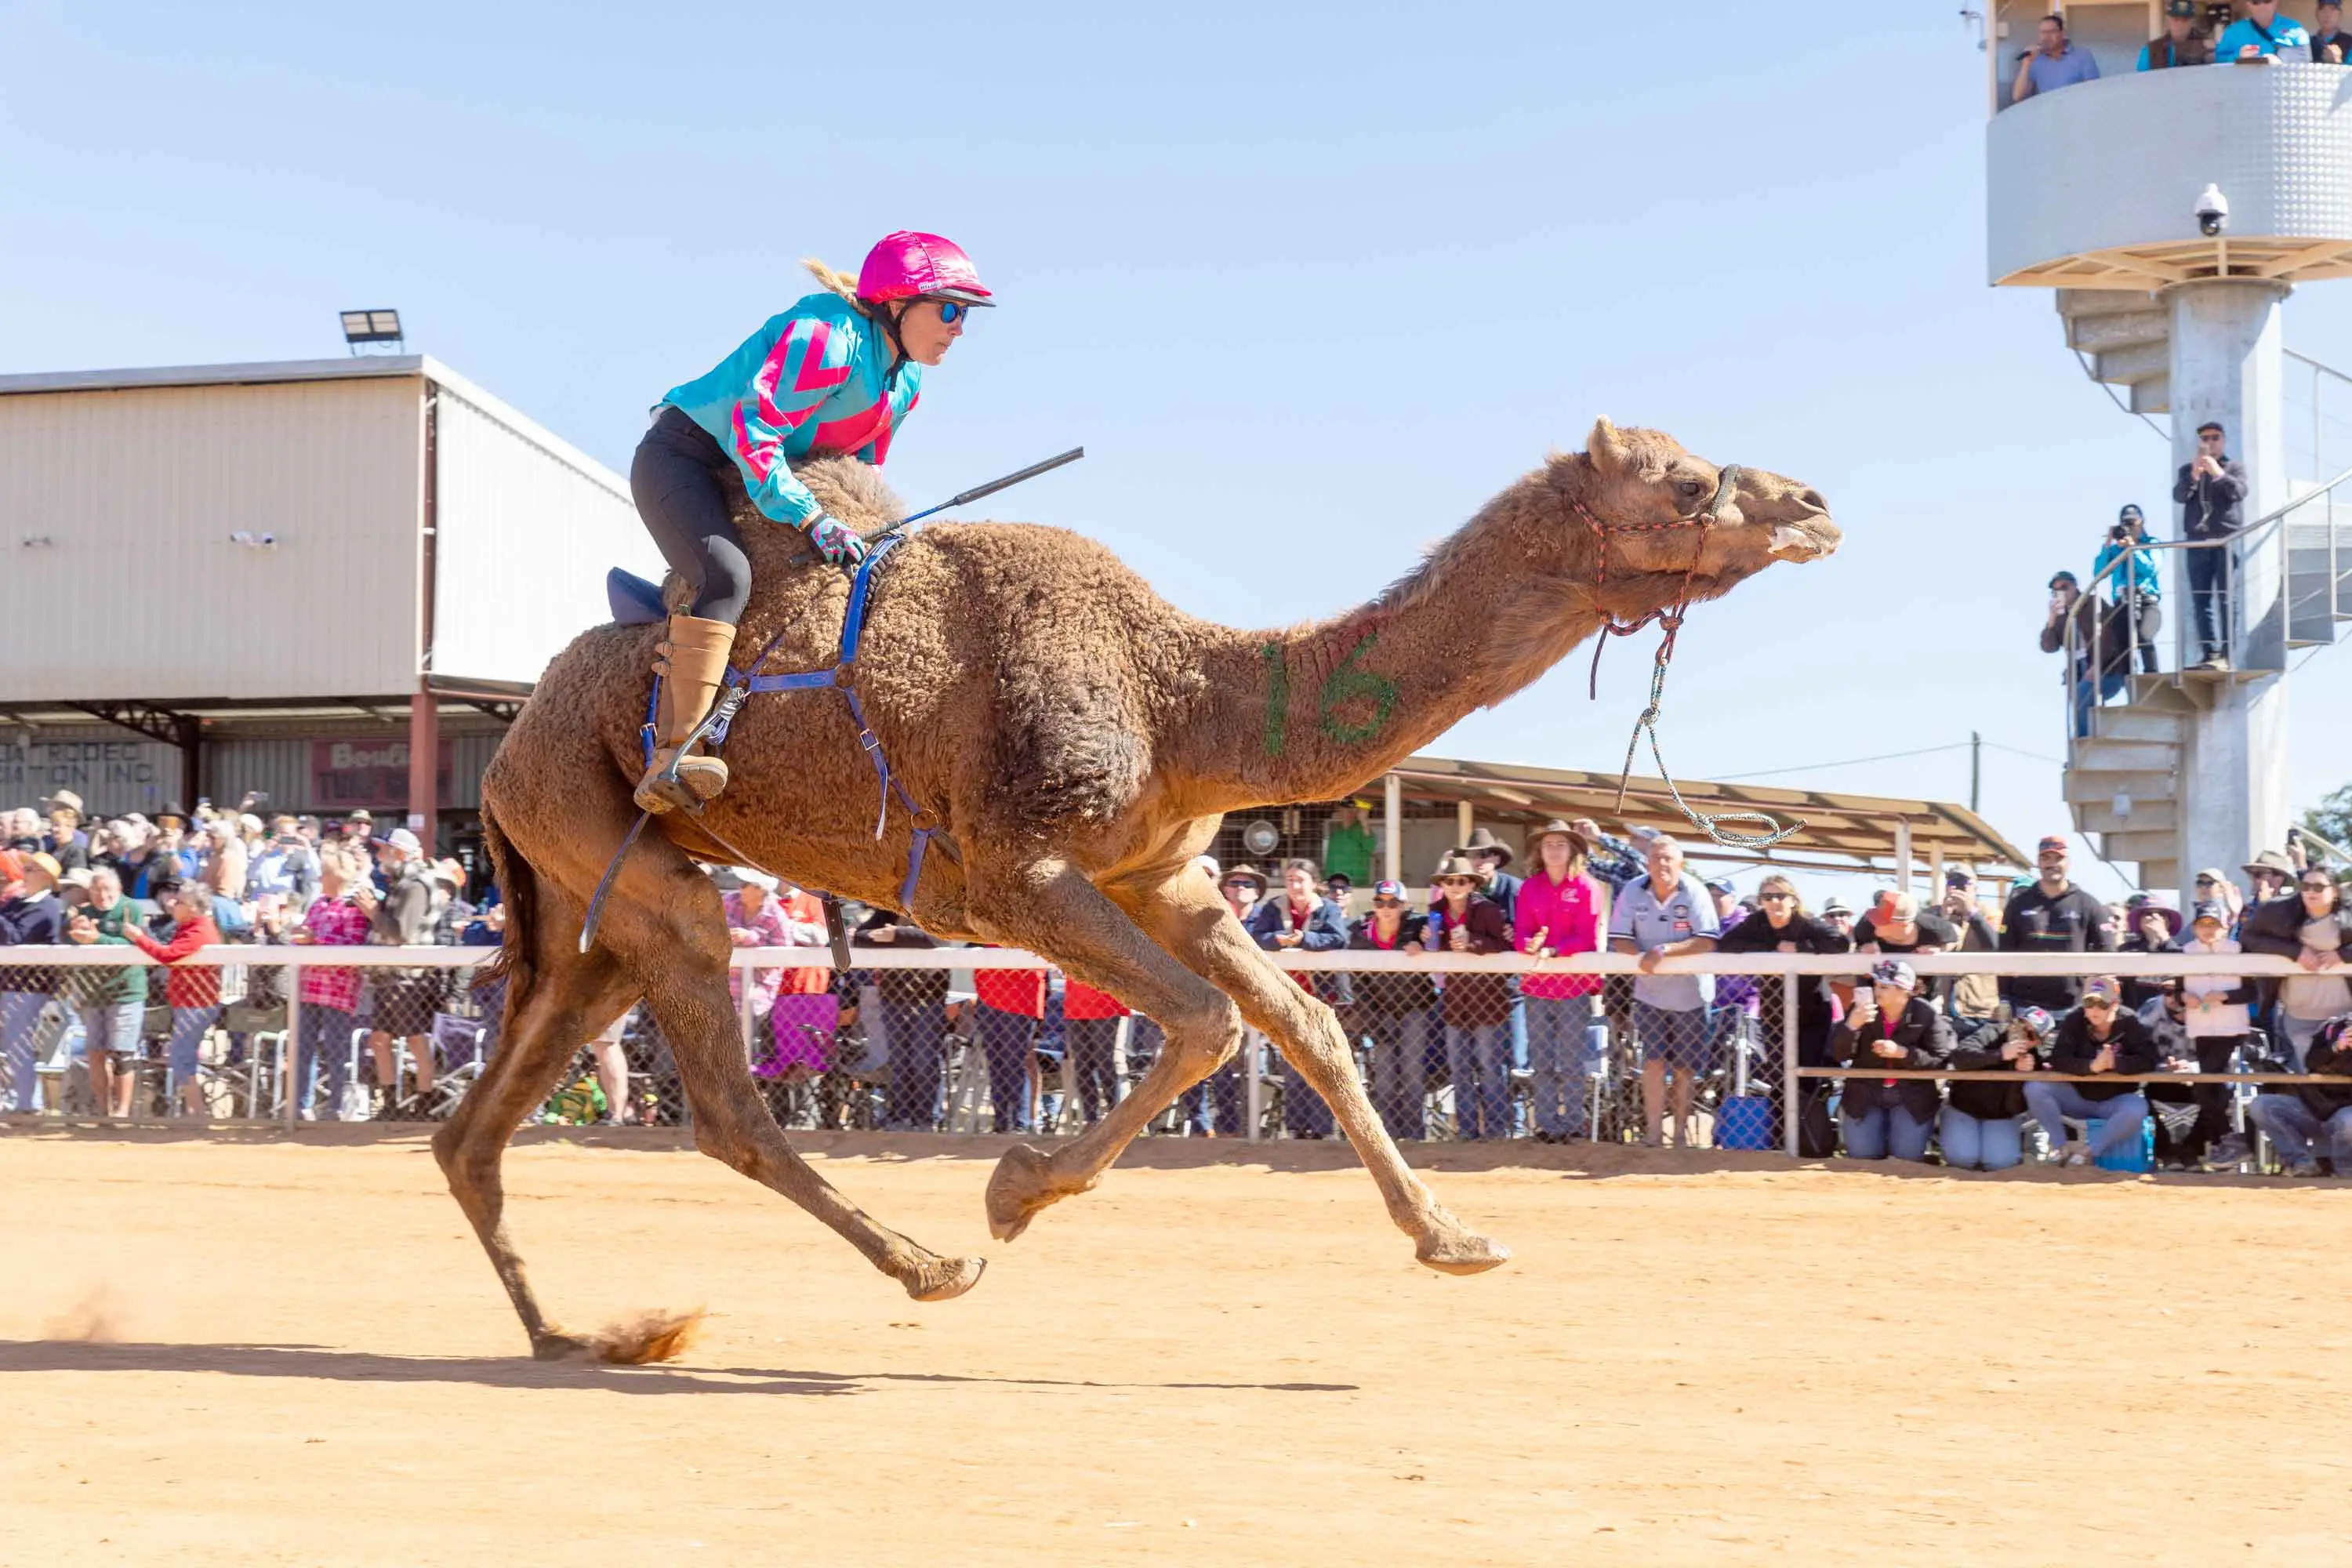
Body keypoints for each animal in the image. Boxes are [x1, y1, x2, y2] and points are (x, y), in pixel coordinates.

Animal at [438, 417, 1839, 1360]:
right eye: (1683, 479)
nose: (1816, 502)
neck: (1185, 698)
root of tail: (503, 748)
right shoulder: (1011, 876)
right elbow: (1213, 1025)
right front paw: (1014, 1187)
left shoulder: (1165, 877)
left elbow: (1310, 1025)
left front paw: (1454, 1238)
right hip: (619, 850)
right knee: (720, 1102)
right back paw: (925, 1267)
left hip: (584, 910)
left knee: (480, 1127)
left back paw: (574, 1335)